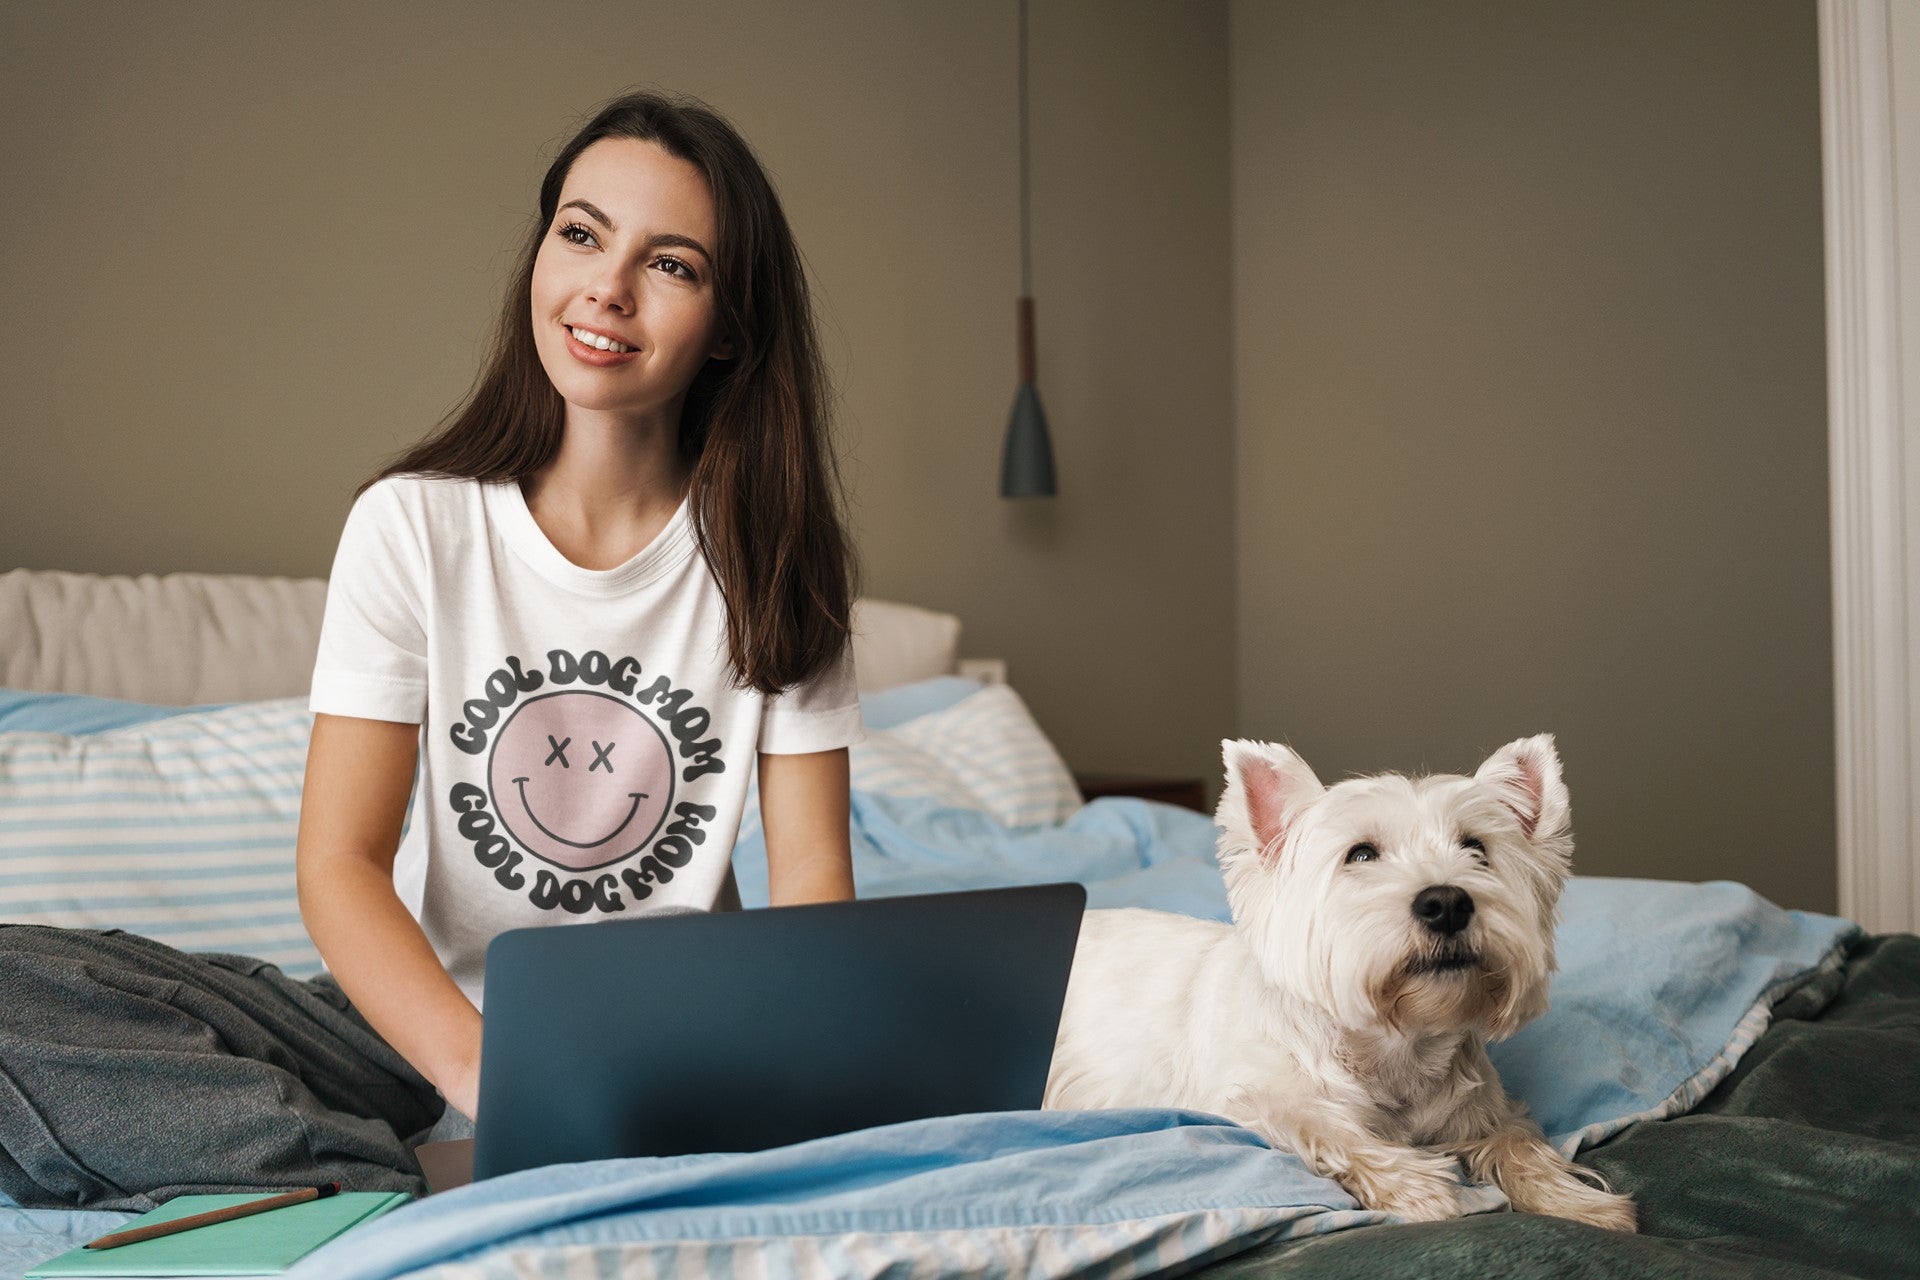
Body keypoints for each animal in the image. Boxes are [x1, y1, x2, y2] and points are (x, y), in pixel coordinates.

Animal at [1052, 736, 1635, 1235]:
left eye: (1477, 848)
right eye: (1361, 854)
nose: (1447, 902)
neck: (1396, 1045)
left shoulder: (1484, 1113)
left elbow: (1519, 1142)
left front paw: (1582, 1204)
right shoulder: (1245, 1101)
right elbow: (1328, 1127)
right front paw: (1421, 1189)